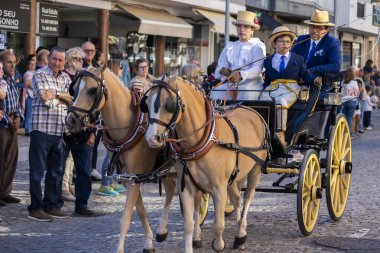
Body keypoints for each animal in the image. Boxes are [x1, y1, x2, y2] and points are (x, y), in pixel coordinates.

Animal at [64, 65, 177, 253]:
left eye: (92, 90)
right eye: (74, 89)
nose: (71, 120)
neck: (129, 127)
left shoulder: (134, 180)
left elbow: (125, 218)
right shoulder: (129, 179)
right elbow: (140, 211)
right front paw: (149, 242)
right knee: (171, 192)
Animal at [141, 77, 268, 253]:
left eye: (170, 104)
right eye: (146, 103)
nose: (152, 138)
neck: (204, 140)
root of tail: (252, 110)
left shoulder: (219, 188)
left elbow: (218, 225)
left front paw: (219, 244)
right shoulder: (186, 188)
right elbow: (189, 224)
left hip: (255, 169)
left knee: (248, 197)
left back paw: (241, 232)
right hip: (233, 177)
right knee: (237, 199)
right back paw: (240, 235)